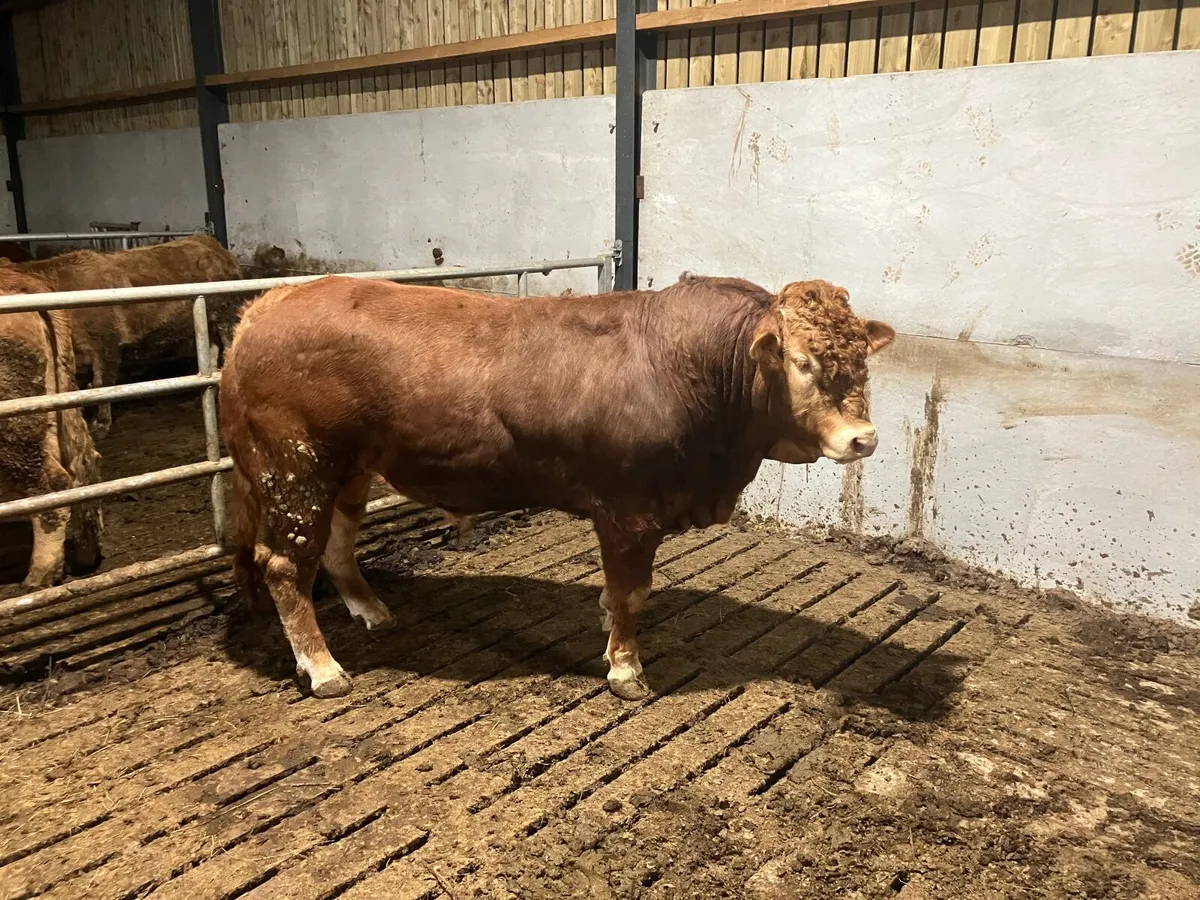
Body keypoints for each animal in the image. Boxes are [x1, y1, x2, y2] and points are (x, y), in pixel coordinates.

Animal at [219, 273, 895, 700]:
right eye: (802, 362)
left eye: (863, 359)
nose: (863, 438)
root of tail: (269, 305)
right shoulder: (629, 509)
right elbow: (632, 592)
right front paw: (625, 669)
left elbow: (619, 594)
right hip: (296, 467)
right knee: (285, 563)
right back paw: (322, 667)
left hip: (348, 467)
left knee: (337, 542)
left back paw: (371, 610)